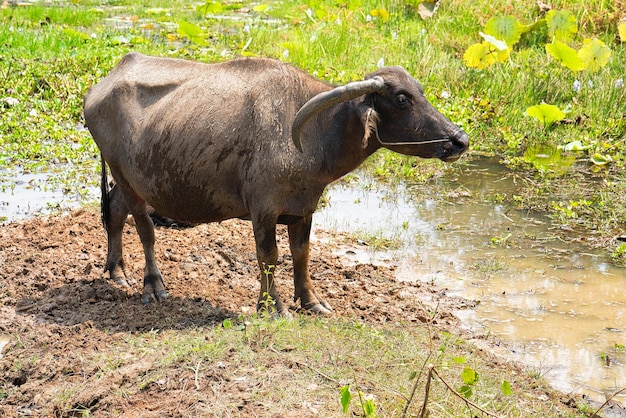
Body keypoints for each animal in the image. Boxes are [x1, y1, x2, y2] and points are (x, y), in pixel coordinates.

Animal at [85, 51, 468, 314]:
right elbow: (268, 256)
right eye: (402, 98)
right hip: (126, 177)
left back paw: (116, 272)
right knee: (144, 228)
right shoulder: (264, 210)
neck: (316, 136)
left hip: (131, 179)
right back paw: (153, 286)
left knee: (115, 210)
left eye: (421, 91)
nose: (459, 140)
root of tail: (102, 86)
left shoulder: (304, 208)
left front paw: (312, 302)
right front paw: (274, 307)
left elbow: (302, 254)